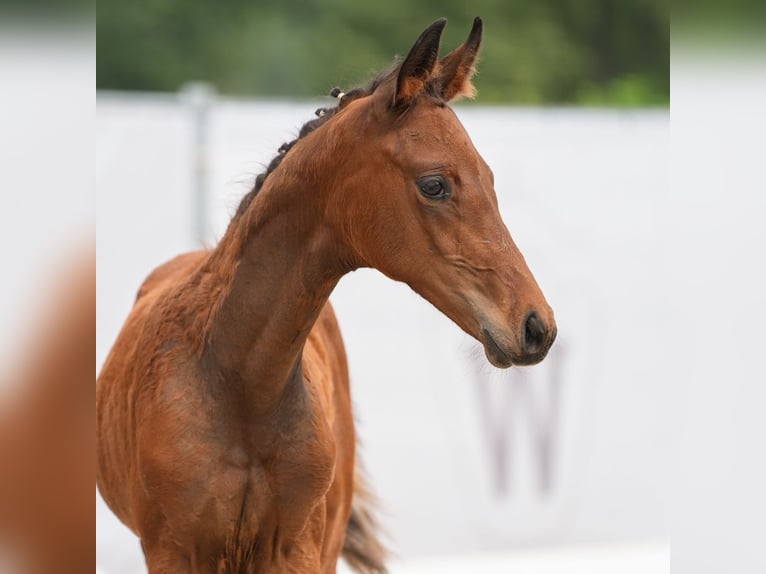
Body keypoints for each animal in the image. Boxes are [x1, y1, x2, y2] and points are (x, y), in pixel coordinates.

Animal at [97, 18, 560, 574]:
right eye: (434, 185)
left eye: (489, 178)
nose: (536, 326)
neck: (239, 385)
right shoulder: (174, 550)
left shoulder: (297, 548)